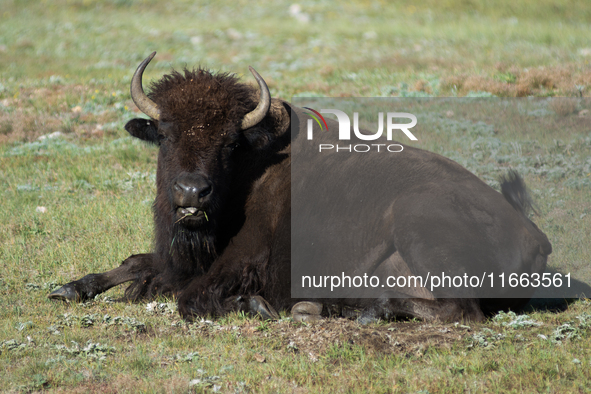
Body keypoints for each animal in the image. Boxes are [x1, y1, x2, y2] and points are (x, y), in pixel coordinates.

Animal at [48, 53, 552, 324]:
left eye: (229, 142)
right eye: (165, 132)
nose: (192, 192)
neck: (253, 165)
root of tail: (535, 236)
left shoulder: (236, 261)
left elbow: (191, 299)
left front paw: (254, 305)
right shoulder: (180, 258)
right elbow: (135, 262)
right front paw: (69, 289)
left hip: (419, 225)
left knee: (460, 311)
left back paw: (347, 310)